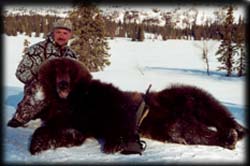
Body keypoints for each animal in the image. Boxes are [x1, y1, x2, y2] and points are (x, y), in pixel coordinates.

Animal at [28, 57, 246, 155]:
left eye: (69, 72)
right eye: (56, 72)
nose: (63, 85)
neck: (75, 99)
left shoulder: (105, 100)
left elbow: (119, 116)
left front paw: (115, 143)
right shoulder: (72, 117)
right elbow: (67, 131)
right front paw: (38, 143)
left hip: (179, 98)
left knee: (207, 109)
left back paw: (234, 132)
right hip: (168, 117)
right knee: (186, 129)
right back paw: (232, 134)